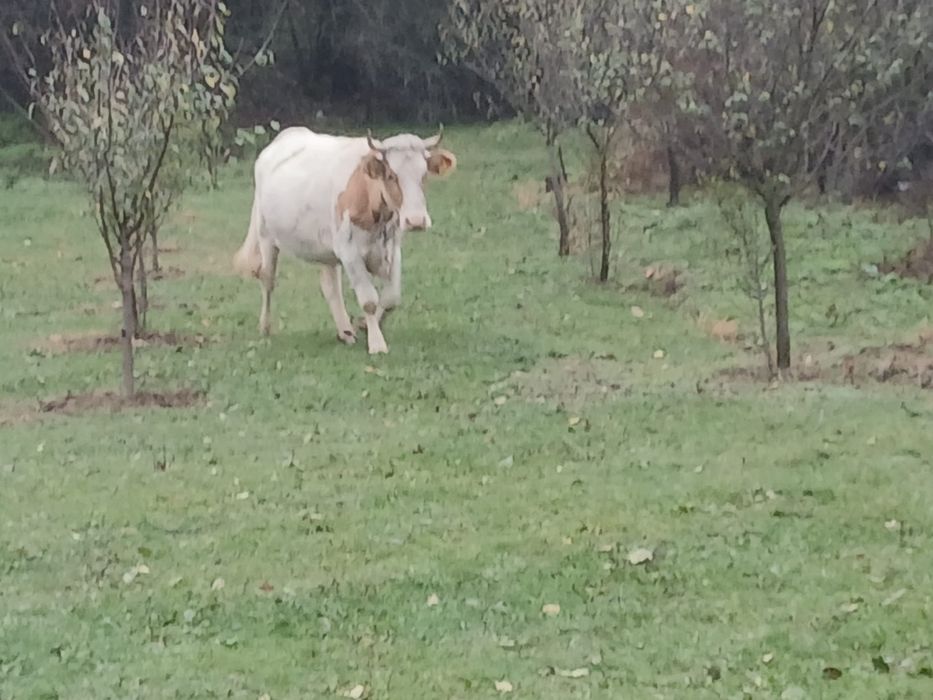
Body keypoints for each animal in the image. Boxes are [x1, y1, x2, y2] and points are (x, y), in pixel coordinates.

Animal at [233, 126, 457, 354]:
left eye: (424, 175)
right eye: (391, 175)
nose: (416, 221)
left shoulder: (392, 249)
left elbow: (391, 298)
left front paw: (365, 325)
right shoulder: (349, 253)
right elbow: (369, 300)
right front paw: (377, 344)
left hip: (326, 248)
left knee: (330, 287)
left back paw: (345, 332)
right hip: (266, 235)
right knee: (267, 279)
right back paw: (265, 327)